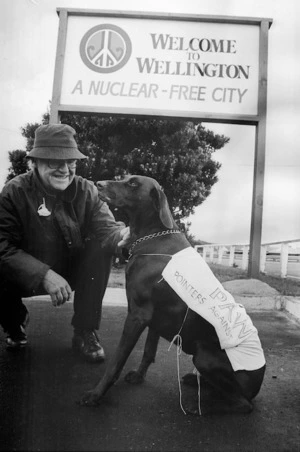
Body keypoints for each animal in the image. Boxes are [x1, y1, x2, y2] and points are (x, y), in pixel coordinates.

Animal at [79, 175, 264, 414]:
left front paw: (96, 394)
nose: (98, 184)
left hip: (204, 357)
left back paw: (197, 406)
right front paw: (138, 376)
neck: (152, 237)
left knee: (243, 404)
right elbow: (149, 351)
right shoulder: (154, 318)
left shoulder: (137, 314)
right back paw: (194, 381)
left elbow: (116, 362)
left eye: (133, 183)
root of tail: (259, 382)